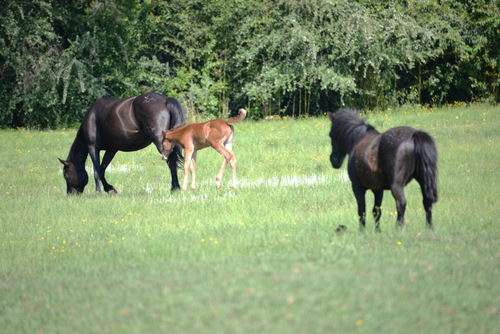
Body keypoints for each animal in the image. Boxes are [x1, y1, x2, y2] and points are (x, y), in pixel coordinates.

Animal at [57, 92, 186, 194]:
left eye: (66, 175)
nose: (70, 194)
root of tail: (165, 100)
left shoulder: (92, 147)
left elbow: (96, 171)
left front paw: (99, 192)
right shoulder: (111, 149)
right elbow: (102, 169)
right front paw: (109, 189)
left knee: (171, 162)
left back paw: (174, 188)